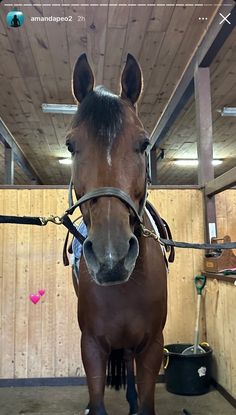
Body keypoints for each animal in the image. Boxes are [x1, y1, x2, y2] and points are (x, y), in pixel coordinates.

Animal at [65, 54, 167, 415]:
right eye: (71, 145)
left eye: (143, 144)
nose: (112, 257)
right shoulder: (91, 347)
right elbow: (97, 403)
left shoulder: (152, 346)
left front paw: (138, 403)